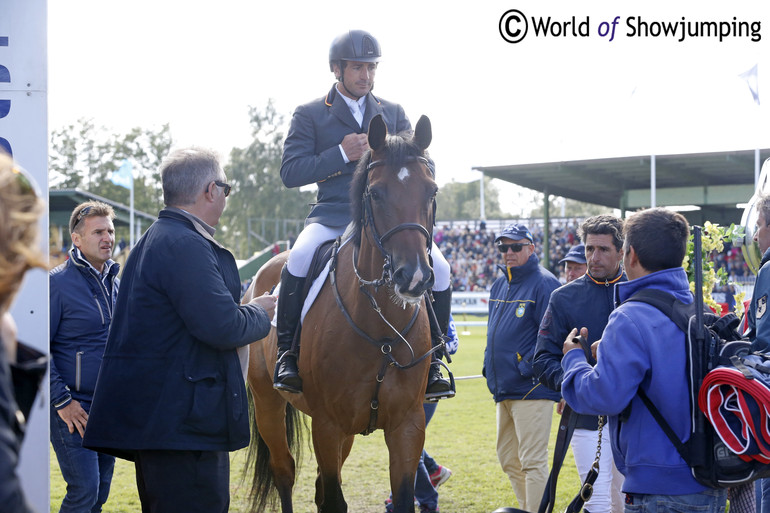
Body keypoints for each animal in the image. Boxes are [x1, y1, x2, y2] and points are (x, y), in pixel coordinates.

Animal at [243, 114, 440, 510]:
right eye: (375, 194)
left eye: (431, 192)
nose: (413, 277)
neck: (382, 330)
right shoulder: (327, 425)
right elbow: (333, 498)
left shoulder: (408, 427)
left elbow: (401, 495)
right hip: (267, 402)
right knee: (284, 471)